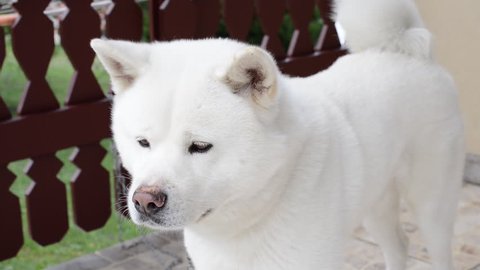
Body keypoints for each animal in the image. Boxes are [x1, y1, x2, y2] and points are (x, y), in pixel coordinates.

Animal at [91, 0, 464, 268]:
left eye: (200, 146)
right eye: (142, 143)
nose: (145, 200)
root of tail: (405, 50)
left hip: (431, 204)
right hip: (376, 201)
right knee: (399, 245)